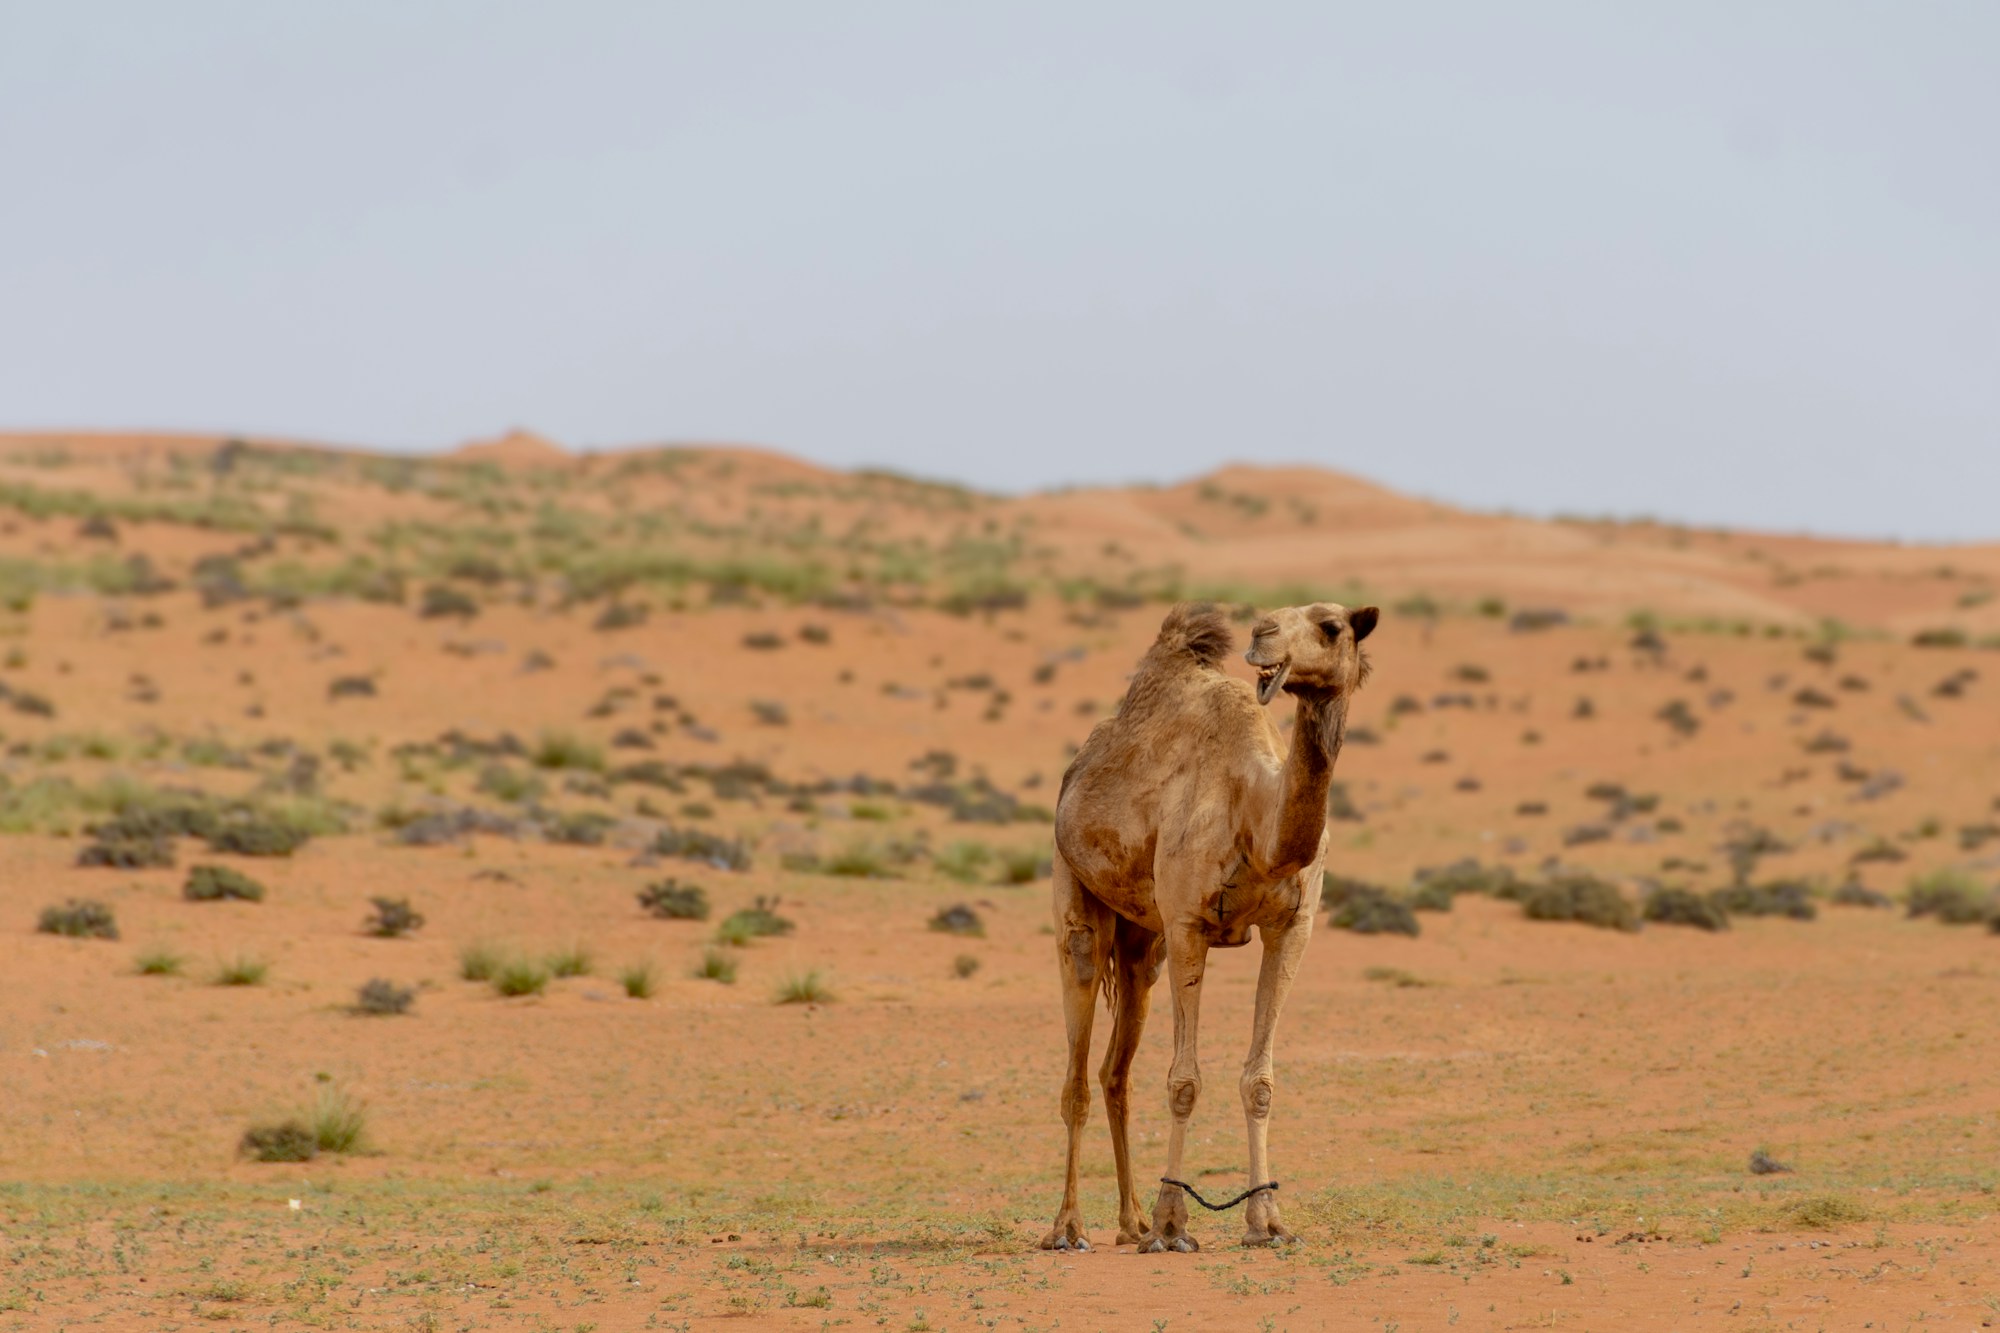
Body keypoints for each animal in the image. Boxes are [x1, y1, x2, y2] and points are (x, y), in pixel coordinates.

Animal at [1040, 599, 1378, 1253]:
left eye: (1331, 627)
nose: (1263, 634)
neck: (1257, 816)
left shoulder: (1292, 928)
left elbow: (1260, 1081)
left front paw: (1266, 1222)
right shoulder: (1188, 923)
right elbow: (1184, 1081)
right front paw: (1174, 1225)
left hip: (1143, 945)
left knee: (1116, 1072)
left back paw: (1131, 1222)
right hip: (1076, 892)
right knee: (1077, 1074)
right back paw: (1069, 1229)